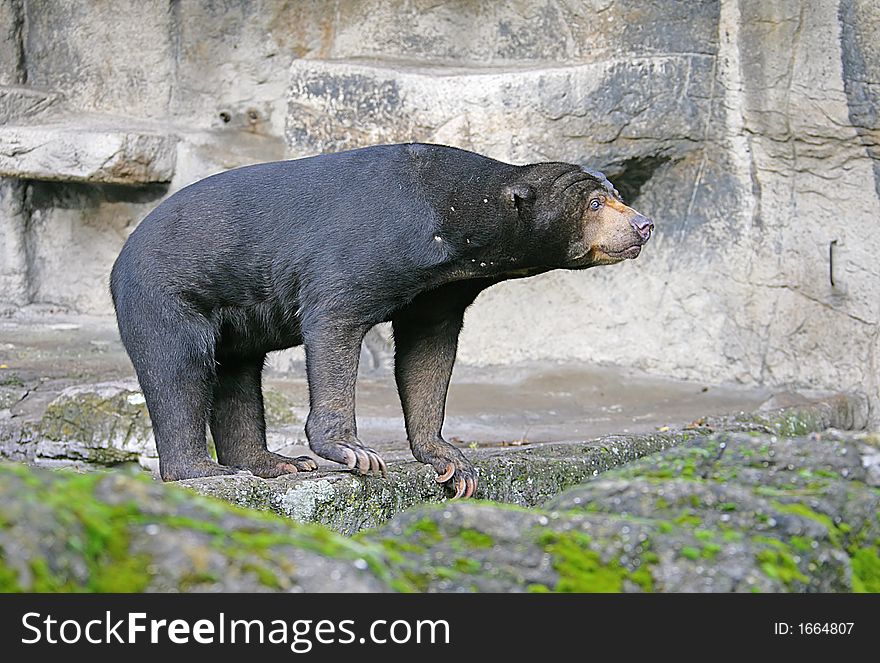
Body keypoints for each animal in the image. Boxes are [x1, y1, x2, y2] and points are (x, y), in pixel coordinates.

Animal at [110, 144, 652, 498]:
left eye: (616, 195)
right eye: (594, 204)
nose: (643, 226)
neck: (458, 219)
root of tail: (121, 256)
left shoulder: (442, 289)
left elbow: (428, 353)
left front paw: (452, 463)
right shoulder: (369, 246)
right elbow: (334, 319)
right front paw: (353, 452)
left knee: (237, 377)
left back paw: (274, 464)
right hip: (168, 294)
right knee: (179, 370)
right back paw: (204, 471)